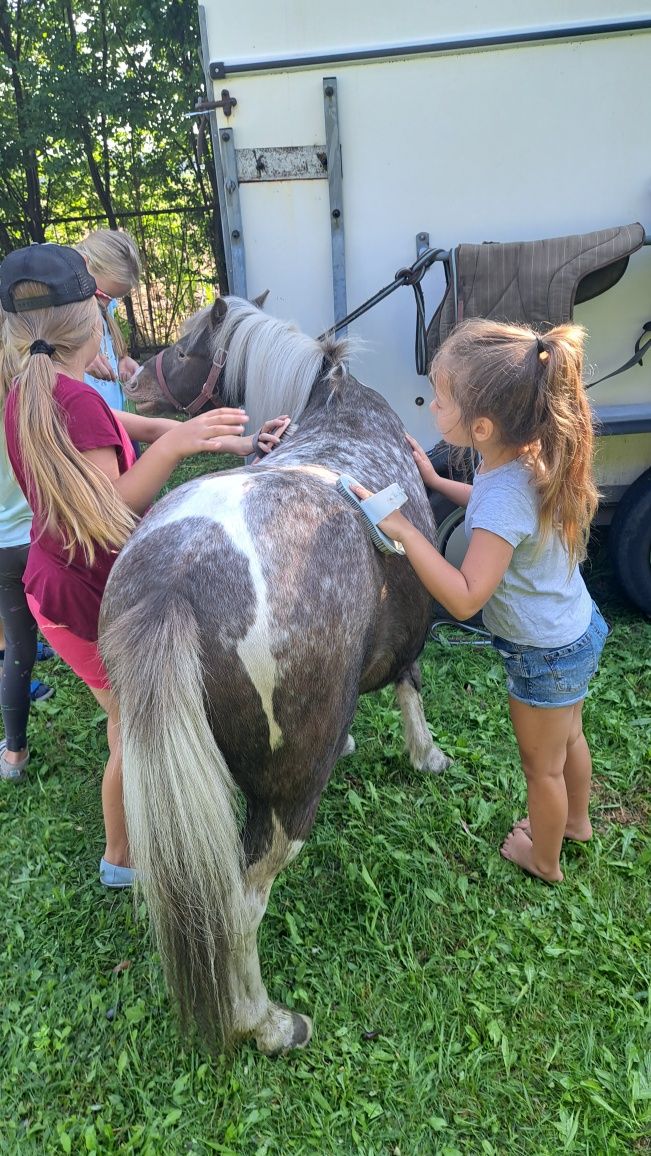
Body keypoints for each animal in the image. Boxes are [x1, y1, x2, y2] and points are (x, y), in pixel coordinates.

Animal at [101, 295, 450, 1058]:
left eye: (182, 349)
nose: (134, 382)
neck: (337, 405)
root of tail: (178, 583)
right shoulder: (411, 636)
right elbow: (409, 684)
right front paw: (426, 754)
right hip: (286, 802)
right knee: (240, 904)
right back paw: (266, 1024)